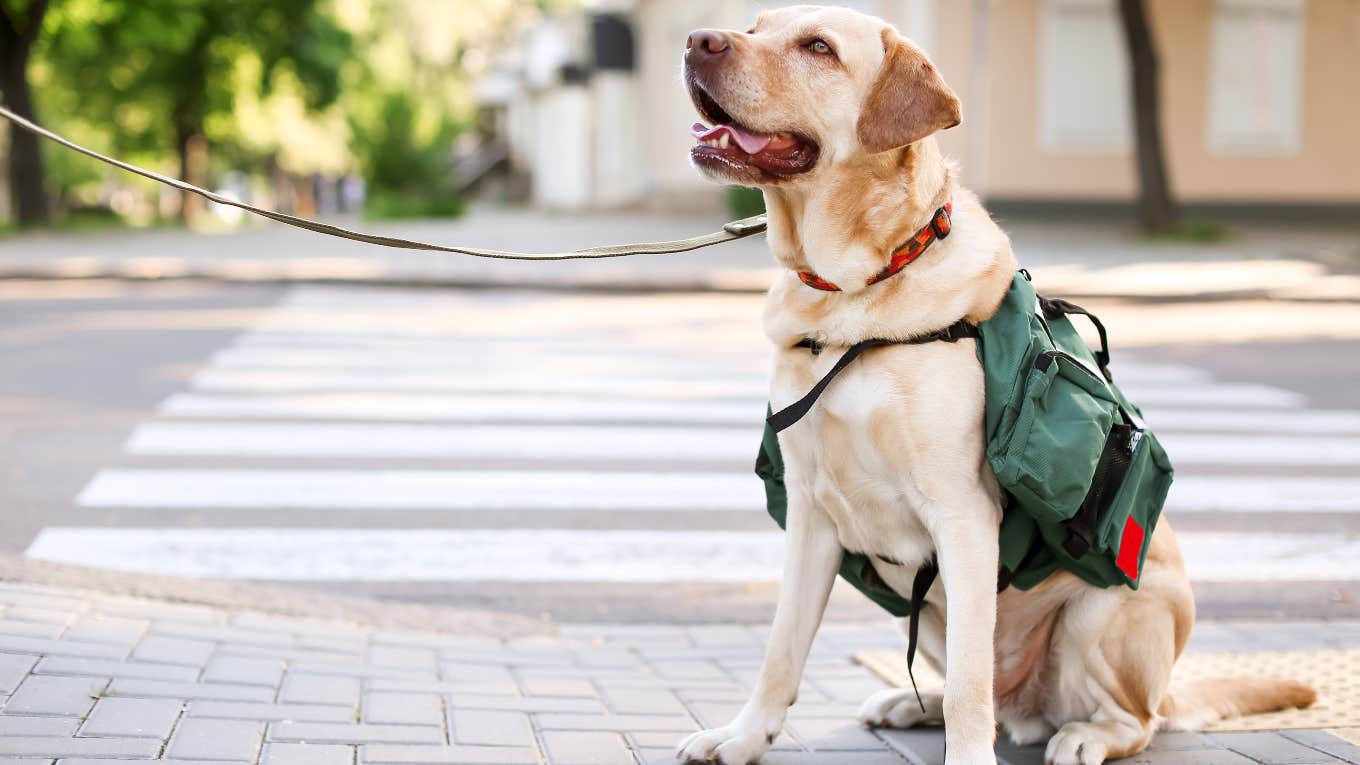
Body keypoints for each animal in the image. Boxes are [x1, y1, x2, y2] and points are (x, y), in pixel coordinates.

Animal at [674, 7, 1311, 762]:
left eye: (818, 47)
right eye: (756, 24)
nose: (697, 41)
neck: (855, 296)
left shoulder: (961, 516)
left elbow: (966, 689)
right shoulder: (810, 511)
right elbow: (780, 647)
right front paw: (744, 736)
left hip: (1105, 614)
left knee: (1133, 719)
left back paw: (1083, 735)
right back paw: (905, 701)